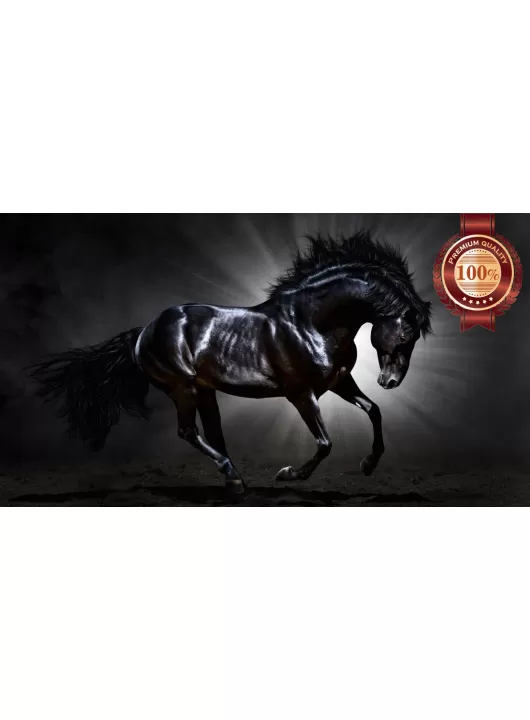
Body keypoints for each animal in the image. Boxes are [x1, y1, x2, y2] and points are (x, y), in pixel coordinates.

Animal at [28, 231, 432, 494]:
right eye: (406, 335)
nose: (390, 381)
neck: (312, 322)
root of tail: (144, 331)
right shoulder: (301, 393)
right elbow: (324, 443)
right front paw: (287, 474)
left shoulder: (338, 382)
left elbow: (374, 410)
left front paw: (368, 465)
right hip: (182, 388)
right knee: (188, 432)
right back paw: (233, 477)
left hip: (204, 391)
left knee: (213, 433)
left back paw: (235, 480)